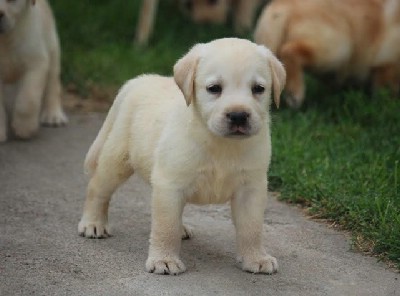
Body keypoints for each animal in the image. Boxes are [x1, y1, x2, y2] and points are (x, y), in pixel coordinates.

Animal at [0, 0, 67, 142]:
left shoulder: (37, 63)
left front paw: (24, 128)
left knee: (53, 85)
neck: (5, 41)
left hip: (53, 49)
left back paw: (53, 116)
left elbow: (28, 99)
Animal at [78, 37, 286, 276]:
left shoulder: (251, 188)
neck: (220, 143)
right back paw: (93, 223)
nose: (238, 116)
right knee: (98, 189)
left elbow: (252, 227)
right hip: (117, 160)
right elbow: (165, 226)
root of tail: (139, 80)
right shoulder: (170, 184)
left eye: (258, 89)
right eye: (214, 89)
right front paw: (164, 259)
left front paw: (256, 257)